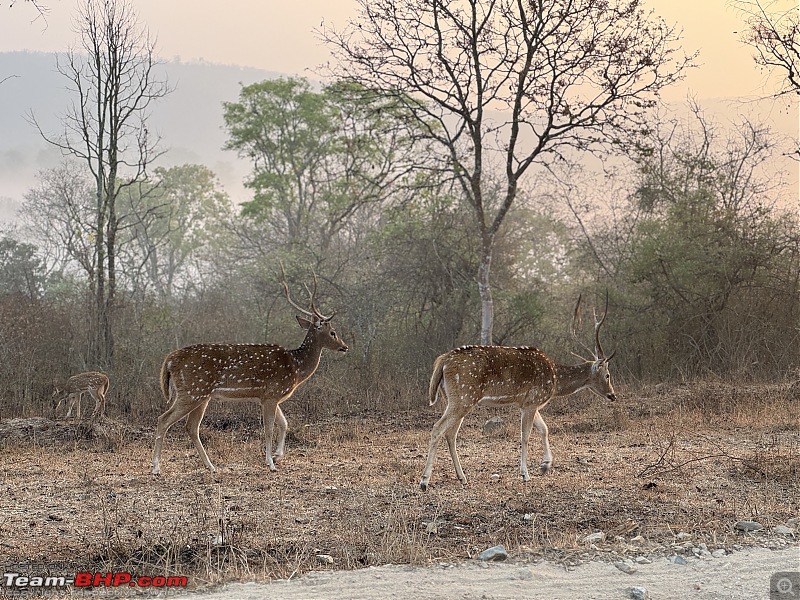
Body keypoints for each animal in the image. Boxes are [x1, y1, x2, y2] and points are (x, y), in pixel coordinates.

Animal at [153, 270, 346, 476]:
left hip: (200, 395)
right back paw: (156, 467)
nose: (345, 346)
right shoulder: (272, 393)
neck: (295, 367)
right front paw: (270, 462)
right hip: (192, 391)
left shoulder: (268, 396)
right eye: (333, 332)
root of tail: (169, 360)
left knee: (191, 427)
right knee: (164, 420)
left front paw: (278, 456)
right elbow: (269, 428)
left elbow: (284, 423)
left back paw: (211, 466)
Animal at [418, 292, 620, 490]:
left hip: (453, 398)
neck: (555, 379)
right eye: (608, 375)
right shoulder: (532, 401)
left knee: (450, 433)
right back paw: (424, 481)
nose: (612, 395)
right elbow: (525, 436)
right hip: (463, 396)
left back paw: (462, 478)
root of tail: (442, 361)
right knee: (438, 428)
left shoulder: (527, 403)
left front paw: (545, 466)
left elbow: (544, 429)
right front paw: (526, 474)